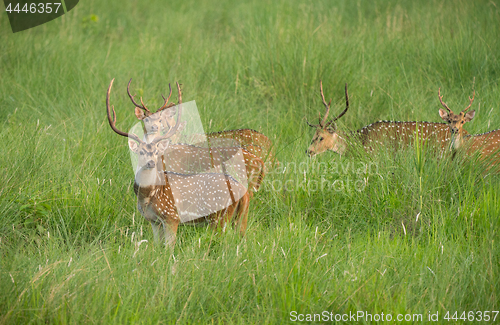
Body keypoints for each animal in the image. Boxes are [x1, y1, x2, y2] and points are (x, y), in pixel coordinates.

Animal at [108, 78, 252, 246]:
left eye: (156, 151)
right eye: (141, 151)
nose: (151, 163)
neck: (148, 196)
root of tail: (244, 191)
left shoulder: (172, 216)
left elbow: (169, 248)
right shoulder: (154, 221)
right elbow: (156, 246)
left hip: (219, 216)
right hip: (241, 217)